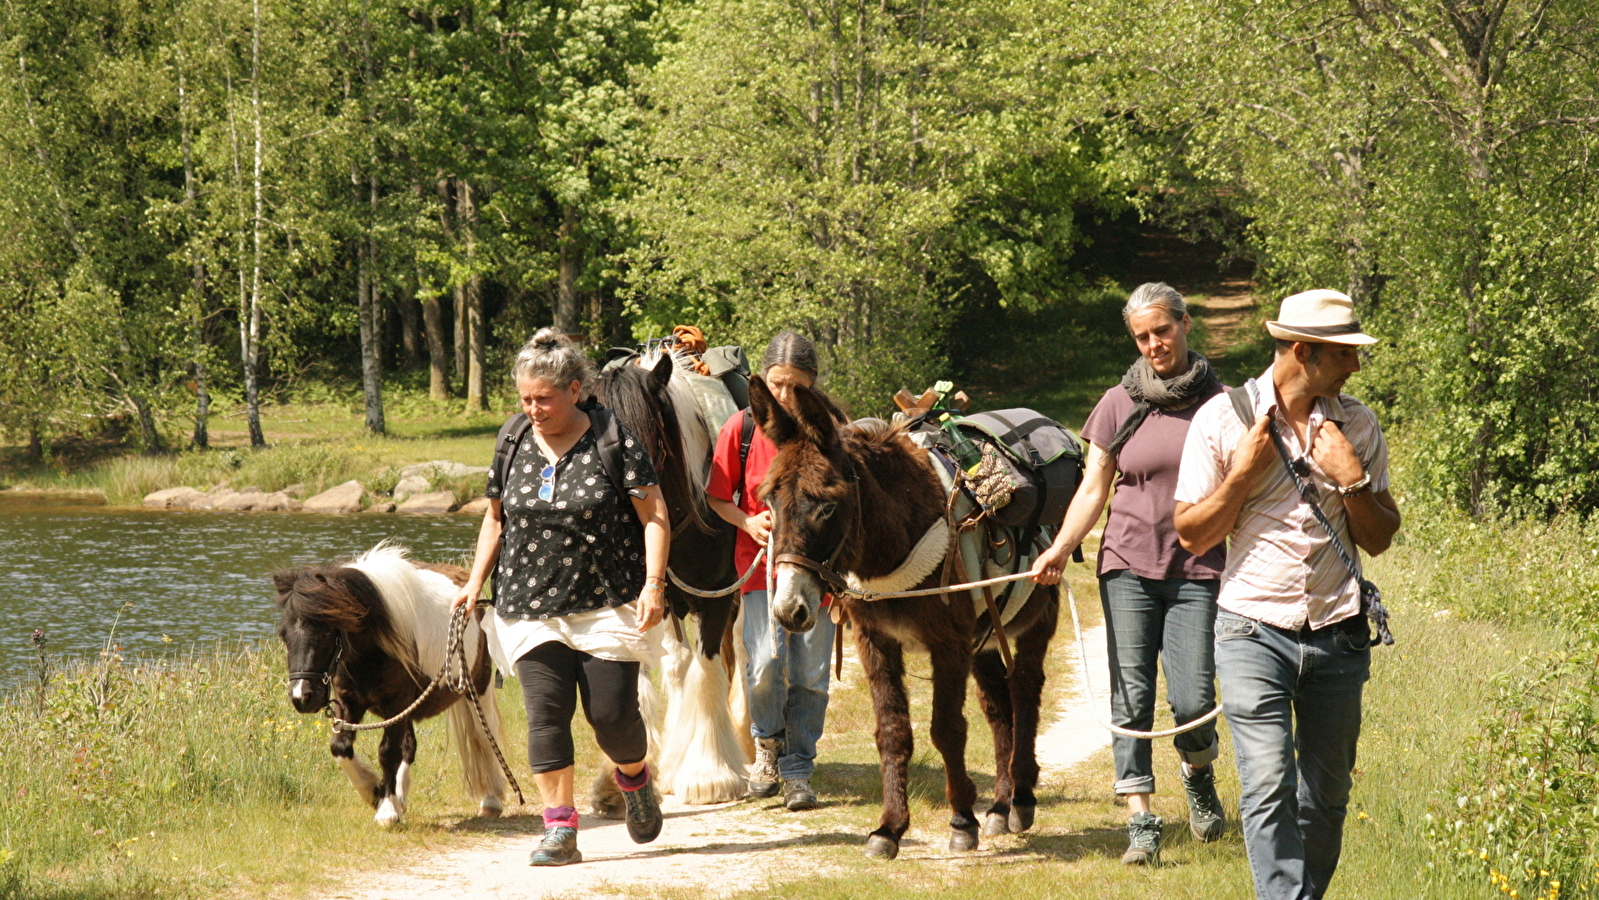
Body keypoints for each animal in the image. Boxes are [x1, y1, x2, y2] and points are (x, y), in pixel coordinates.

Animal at [275, 546, 508, 824]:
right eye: (283, 635)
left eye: (325, 632)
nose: (302, 697)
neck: (372, 648)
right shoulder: (349, 702)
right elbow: (341, 747)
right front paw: (373, 790)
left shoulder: (396, 704)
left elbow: (388, 753)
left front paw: (386, 809)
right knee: (409, 746)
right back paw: (400, 795)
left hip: (477, 688)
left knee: (484, 735)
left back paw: (491, 800)